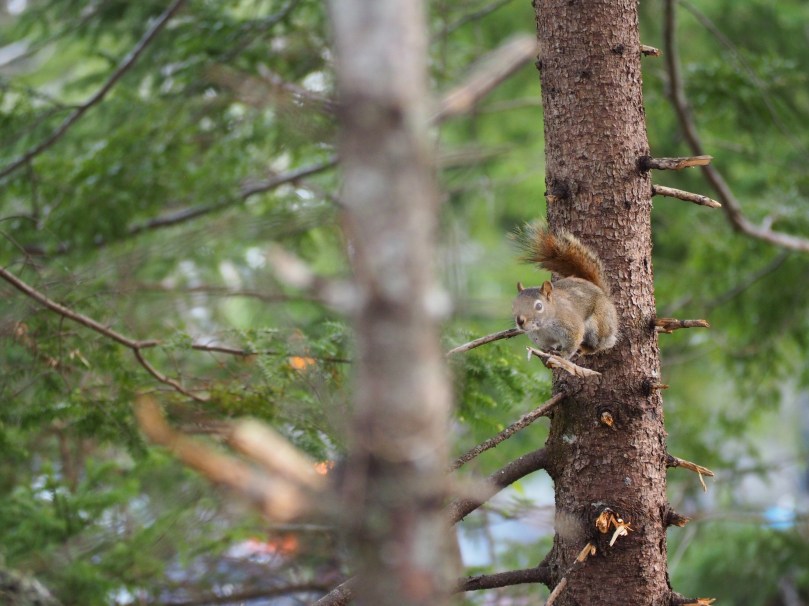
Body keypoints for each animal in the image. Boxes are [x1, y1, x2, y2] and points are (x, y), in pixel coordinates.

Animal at [512, 223, 618, 359]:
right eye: (514, 305)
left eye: (539, 306)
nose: (520, 321)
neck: (543, 327)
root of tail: (604, 294)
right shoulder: (540, 338)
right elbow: (546, 347)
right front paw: (547, 352)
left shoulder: (571, 325)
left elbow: (573, 342)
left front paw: (562, 355)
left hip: (598, 324)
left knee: (602, 343)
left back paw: (585, 348)